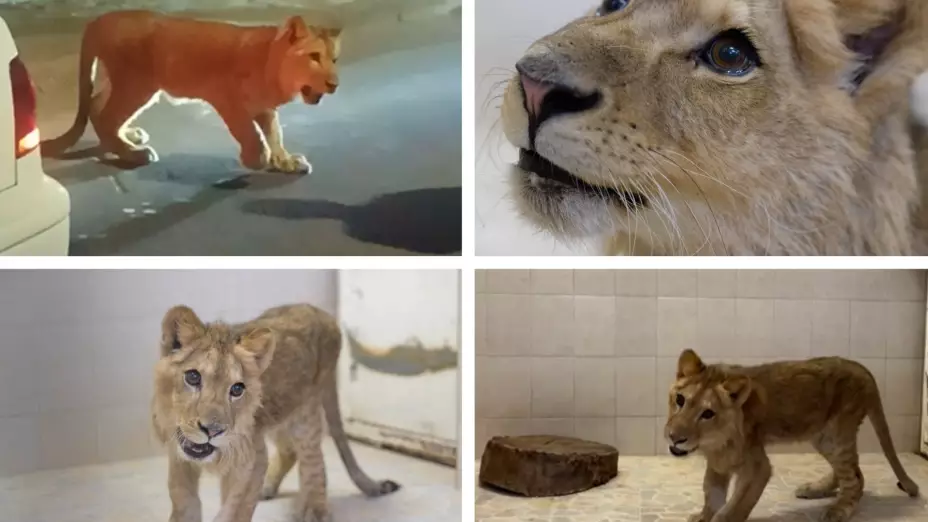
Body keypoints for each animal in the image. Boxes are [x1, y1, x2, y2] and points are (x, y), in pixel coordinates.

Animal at [40, 10, 341, 174]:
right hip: (138, 84)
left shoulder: (264, 107)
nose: (334, 84)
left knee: (96, 104)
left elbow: (274, 133)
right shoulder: (225, 97)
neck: (271, 62)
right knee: (105, 115)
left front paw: (285, 161)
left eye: (334, 59)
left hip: (124, 82)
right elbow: (250, 133)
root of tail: (98, 20)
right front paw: (256, 159)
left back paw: (128, 137)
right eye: (314, 57)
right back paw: (133, 153)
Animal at [151, 304, 399, 522]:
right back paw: (268, 488)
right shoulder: (178, 458)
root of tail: (326, 316)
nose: (212, 430)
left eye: (237, 389)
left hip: (305, 414)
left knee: (313, 460)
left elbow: (234, 509)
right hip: (278, 414)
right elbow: (184, 501)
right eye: (193, 377)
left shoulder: (252, 458)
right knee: (289, 451)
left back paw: (314, 511)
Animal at [665, 349, 920, 522]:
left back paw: (837, 510)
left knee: (855, 478)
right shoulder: (718, 462)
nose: (674, 437)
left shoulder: (757, 467)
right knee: (854, 470)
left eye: (707, 413)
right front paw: (703, 515)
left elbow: (736, 506)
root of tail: (861, 368)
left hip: (837, 433)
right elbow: (712, 493)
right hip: (823, 437)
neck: (714, 440)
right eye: (680, 399)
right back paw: (814, 489)